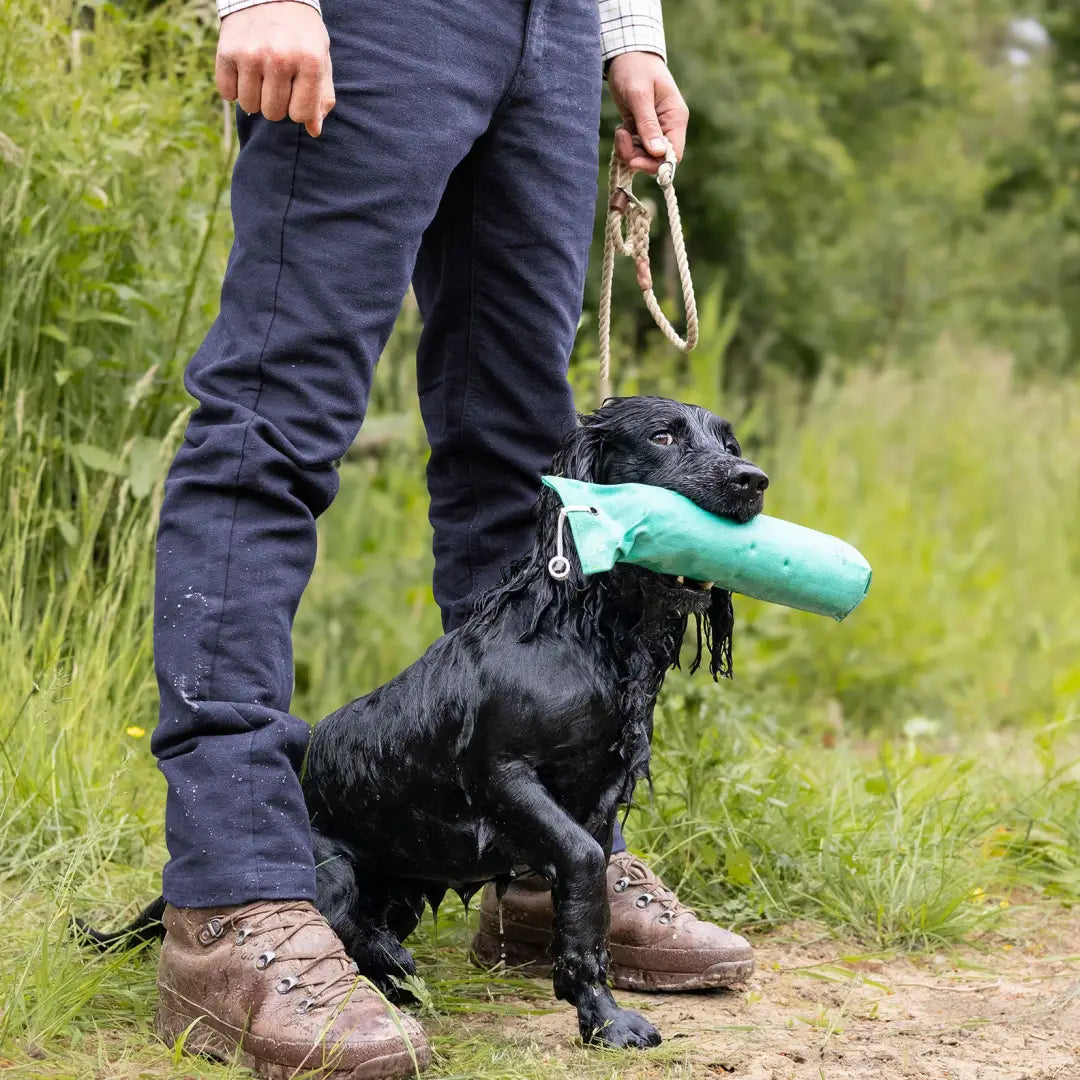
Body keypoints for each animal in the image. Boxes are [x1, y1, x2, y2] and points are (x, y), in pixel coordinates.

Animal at [76, 397, 768, 1045]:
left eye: (730, 443)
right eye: (663, 436)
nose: (753, 480)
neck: (583, 633)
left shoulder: (599, 796)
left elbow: (589, 902)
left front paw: (600, 1010)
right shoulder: (505, 776)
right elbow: (581, 864)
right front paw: (607, 1022)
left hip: (403, 884)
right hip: (330, 870)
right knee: (347, 926)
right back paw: (389, 964)